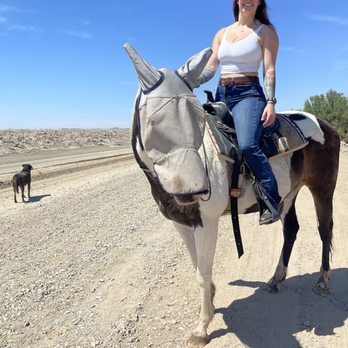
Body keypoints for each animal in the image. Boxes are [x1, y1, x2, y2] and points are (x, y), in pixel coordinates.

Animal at [124, 44, 340, 348]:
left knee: (324, 229)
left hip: (322, 188)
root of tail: (324, 124)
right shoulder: (180, 222)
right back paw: (276, 279)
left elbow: (203, 273)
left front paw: (202, 327)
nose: (196, 190)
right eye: (153, 120)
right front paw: (211, 303)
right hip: (289, 193)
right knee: (291, 229)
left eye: (199, 120)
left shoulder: (207, 221)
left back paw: (322, 281)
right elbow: (197, 265)